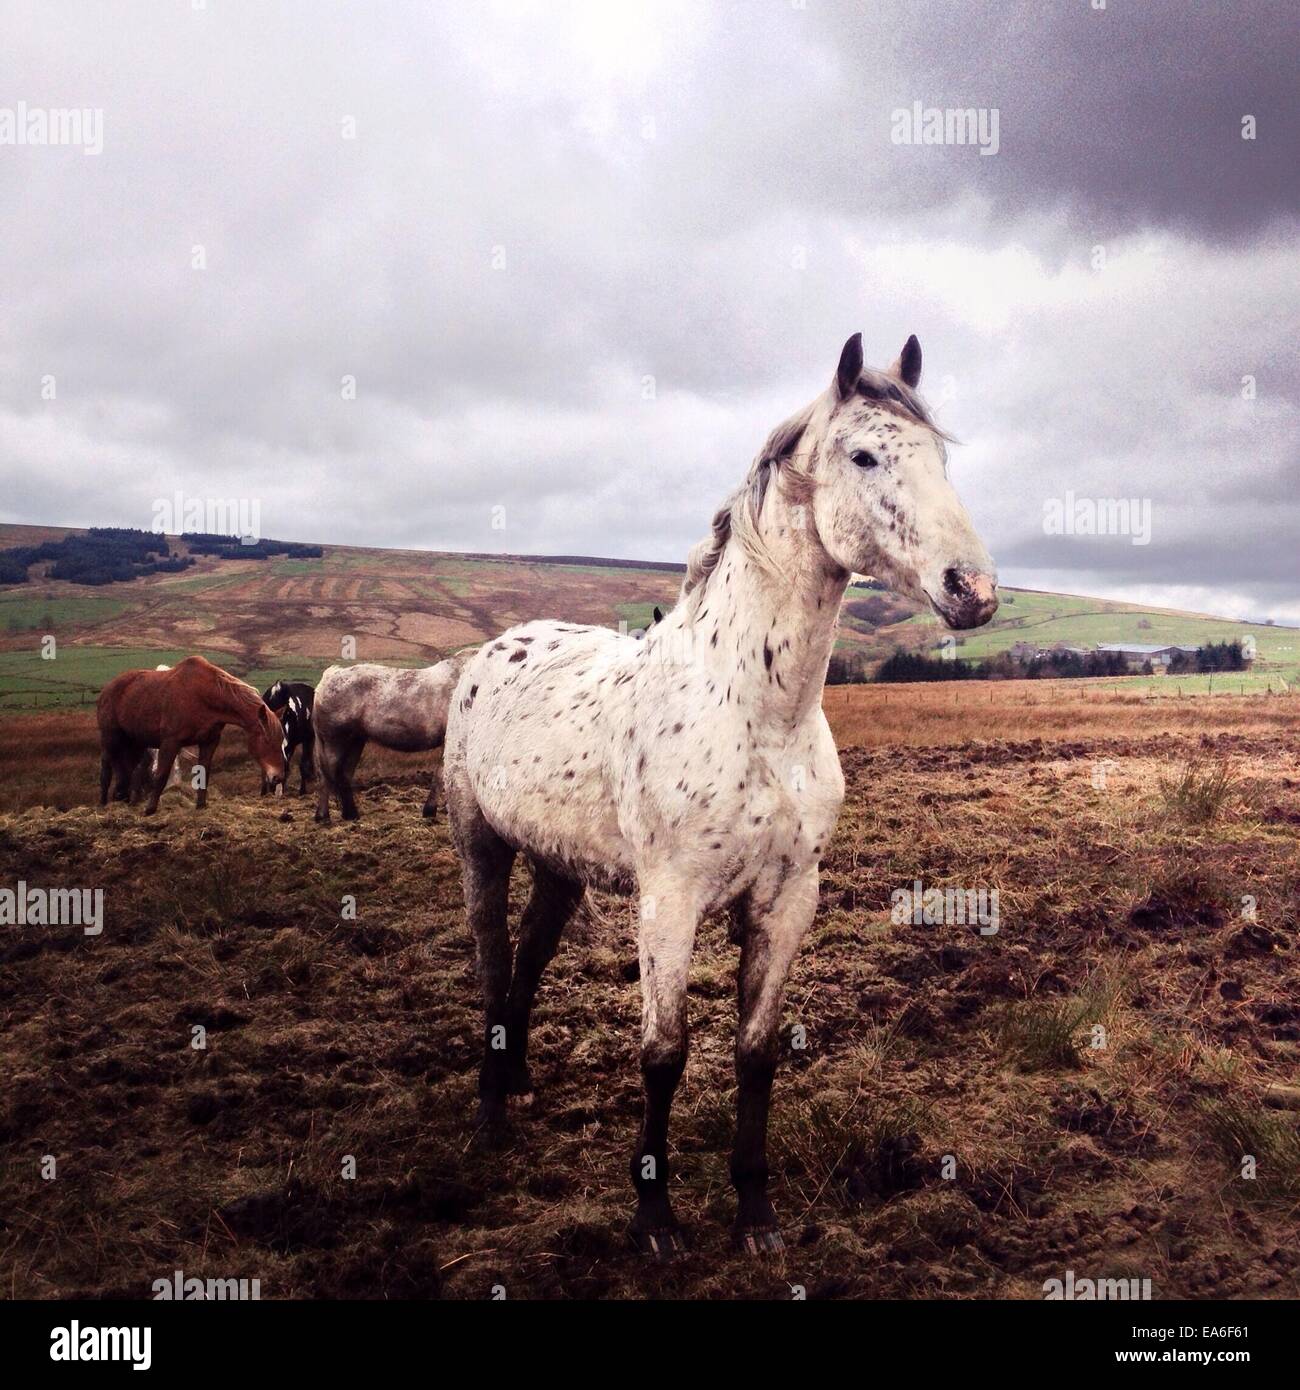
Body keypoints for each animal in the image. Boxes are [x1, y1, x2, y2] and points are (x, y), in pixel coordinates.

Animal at [97, 653, 287, 811]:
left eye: (281, 740)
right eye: (267, 740)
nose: (278, 778)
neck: (203, 696)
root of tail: (107, 689)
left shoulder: (209, 742)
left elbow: (204, 773)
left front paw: (201, 805)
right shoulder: (170, 742)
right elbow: (161, 775)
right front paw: (150, 809)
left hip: (136, 744)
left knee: (129, 772)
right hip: (110, 739)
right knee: (107, 769)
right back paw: (103, 803)